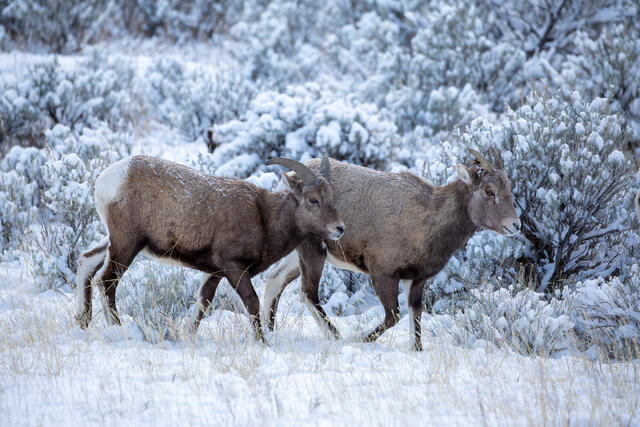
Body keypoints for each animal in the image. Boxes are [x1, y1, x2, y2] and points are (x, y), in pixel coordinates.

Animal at [75, 154, 344, 341]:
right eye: (313, 200)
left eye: (332, 199)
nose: (340, 229)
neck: (264, 218)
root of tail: (107, 179)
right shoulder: (233, 267)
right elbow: (252, 302)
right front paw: (263, 343)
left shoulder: (213, 273)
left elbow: (202, 305)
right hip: (126, 245)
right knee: (106, 282)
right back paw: (119, 330)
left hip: (115, 242)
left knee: (86, 261)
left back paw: (82, 322)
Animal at [261, 149, 520, 350]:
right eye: (489, 191)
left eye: (508, 187)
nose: (515, 225)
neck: (426, 219)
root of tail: (288, 181)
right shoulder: (383, 275)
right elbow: (393, 316)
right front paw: (359, 339)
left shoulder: (416, 281)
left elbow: (415, 316)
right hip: (313, 253)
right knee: (307, 292)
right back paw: (334, 336)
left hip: (298, 256)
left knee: (275, 279)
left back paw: (269, 330)